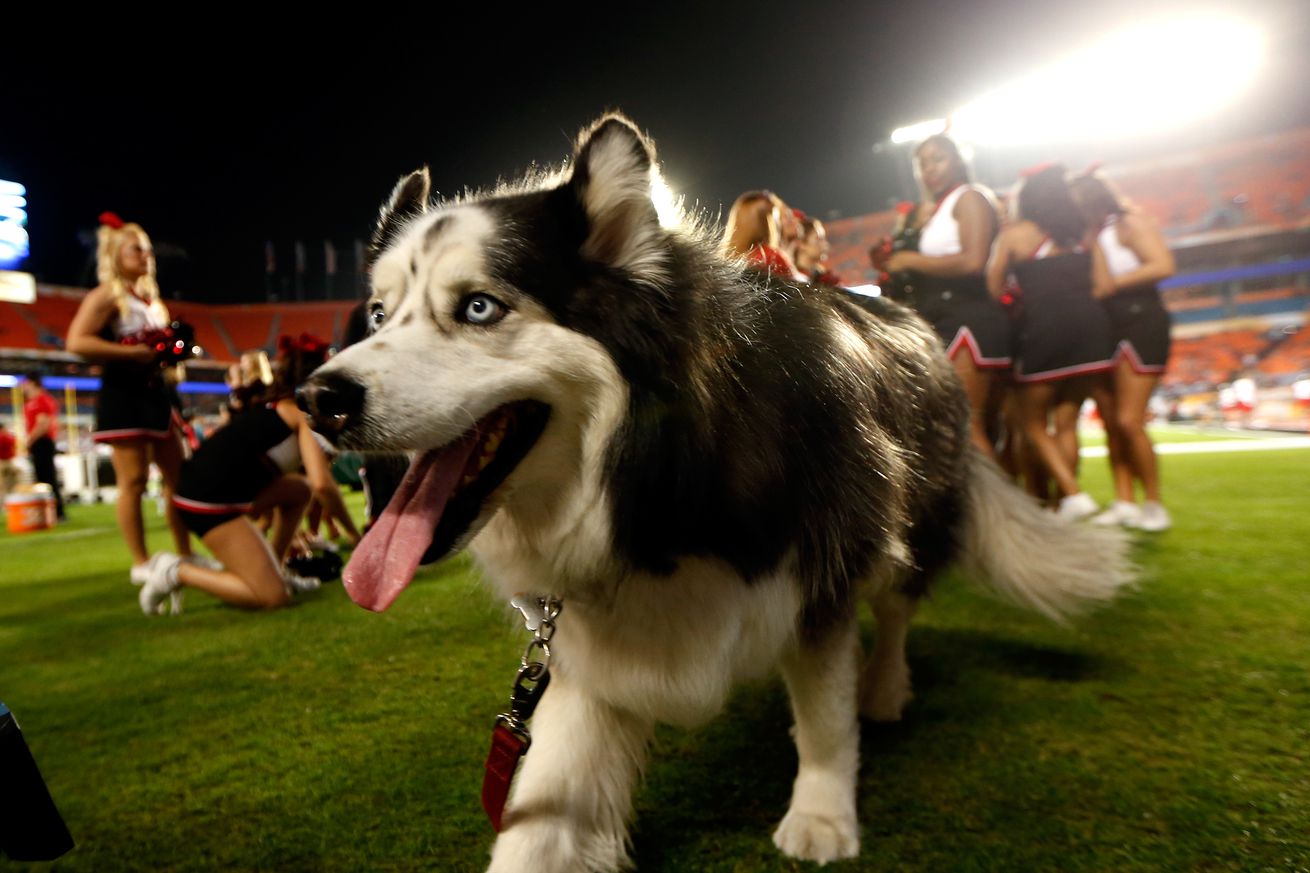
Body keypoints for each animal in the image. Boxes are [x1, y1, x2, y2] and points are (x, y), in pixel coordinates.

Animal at [299, 112, 1137, 865]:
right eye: (378, 315)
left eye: (478, 306)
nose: (316, 399)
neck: (660, 485)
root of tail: (902, 306)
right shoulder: (589, 668)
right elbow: (541, 825)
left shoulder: (818, 578)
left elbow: (824, 716)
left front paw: (822, 813)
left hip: (909, 511)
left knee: (899, 603)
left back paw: (884, 685)